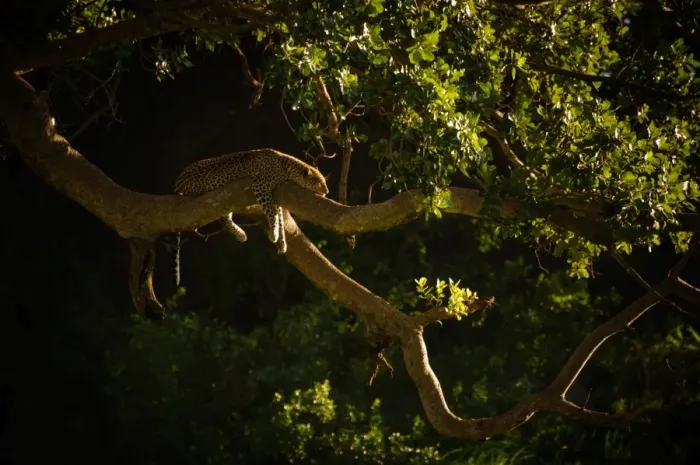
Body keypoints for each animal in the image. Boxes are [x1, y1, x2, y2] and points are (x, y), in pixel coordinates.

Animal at [171, 148, 329, 286]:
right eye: (319, 182)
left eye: (324, 182)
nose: (327, 191)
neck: (286, 166)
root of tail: (176, 184)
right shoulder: (260, 186)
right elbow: (272, 214)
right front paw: (274, 235)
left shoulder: (276, 197)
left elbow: (279, 219)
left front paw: (282, 242)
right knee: (223, 219)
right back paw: (241, 234)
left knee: (225, 218)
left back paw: (241, 234)